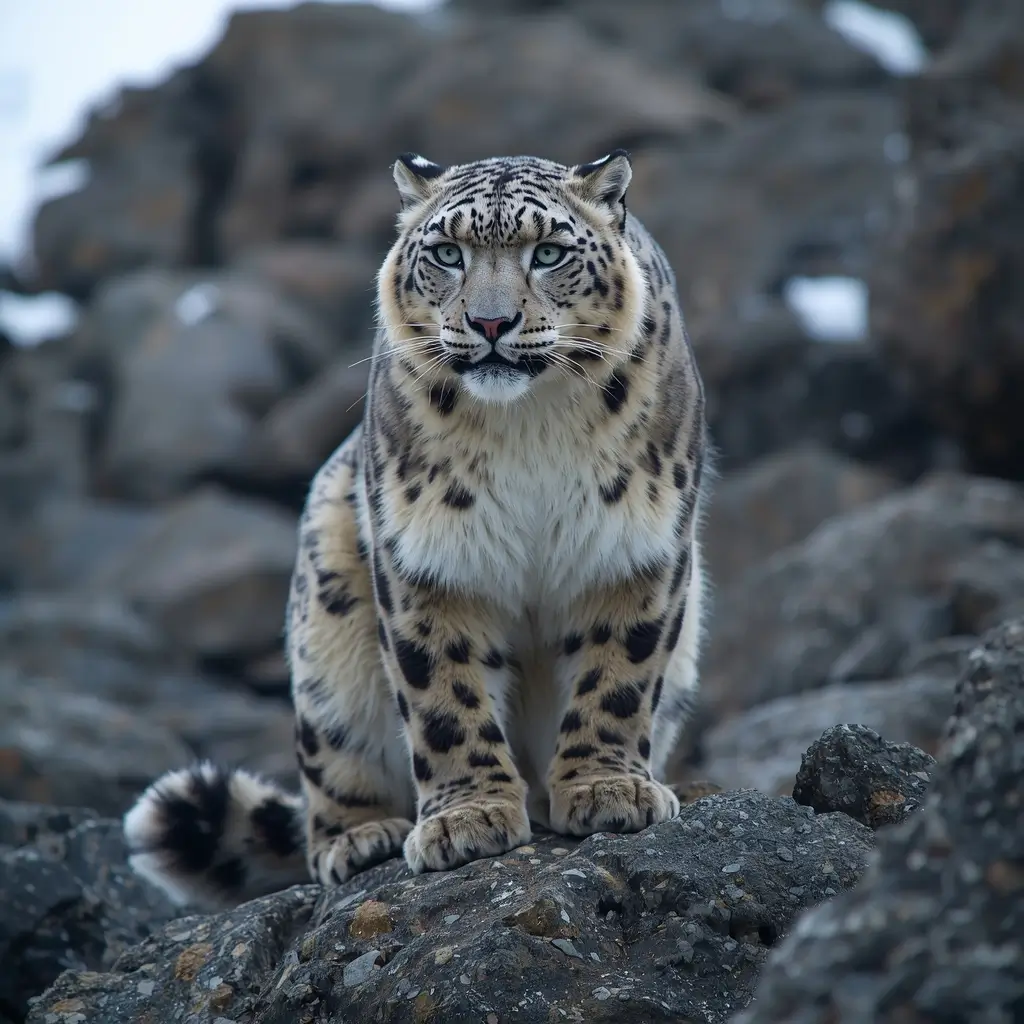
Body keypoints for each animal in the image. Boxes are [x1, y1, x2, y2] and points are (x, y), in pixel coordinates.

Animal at [123, 149, 709, 908]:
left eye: (548, 252)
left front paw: (608, 789)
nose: (491, 323)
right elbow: (442, 693)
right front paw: (468, 819)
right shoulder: (428, 555)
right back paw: (360, 838)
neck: (533, 431)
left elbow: (620, 675)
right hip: (326, 639)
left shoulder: (637, 543)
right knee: (332, 767)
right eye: (447, 253)